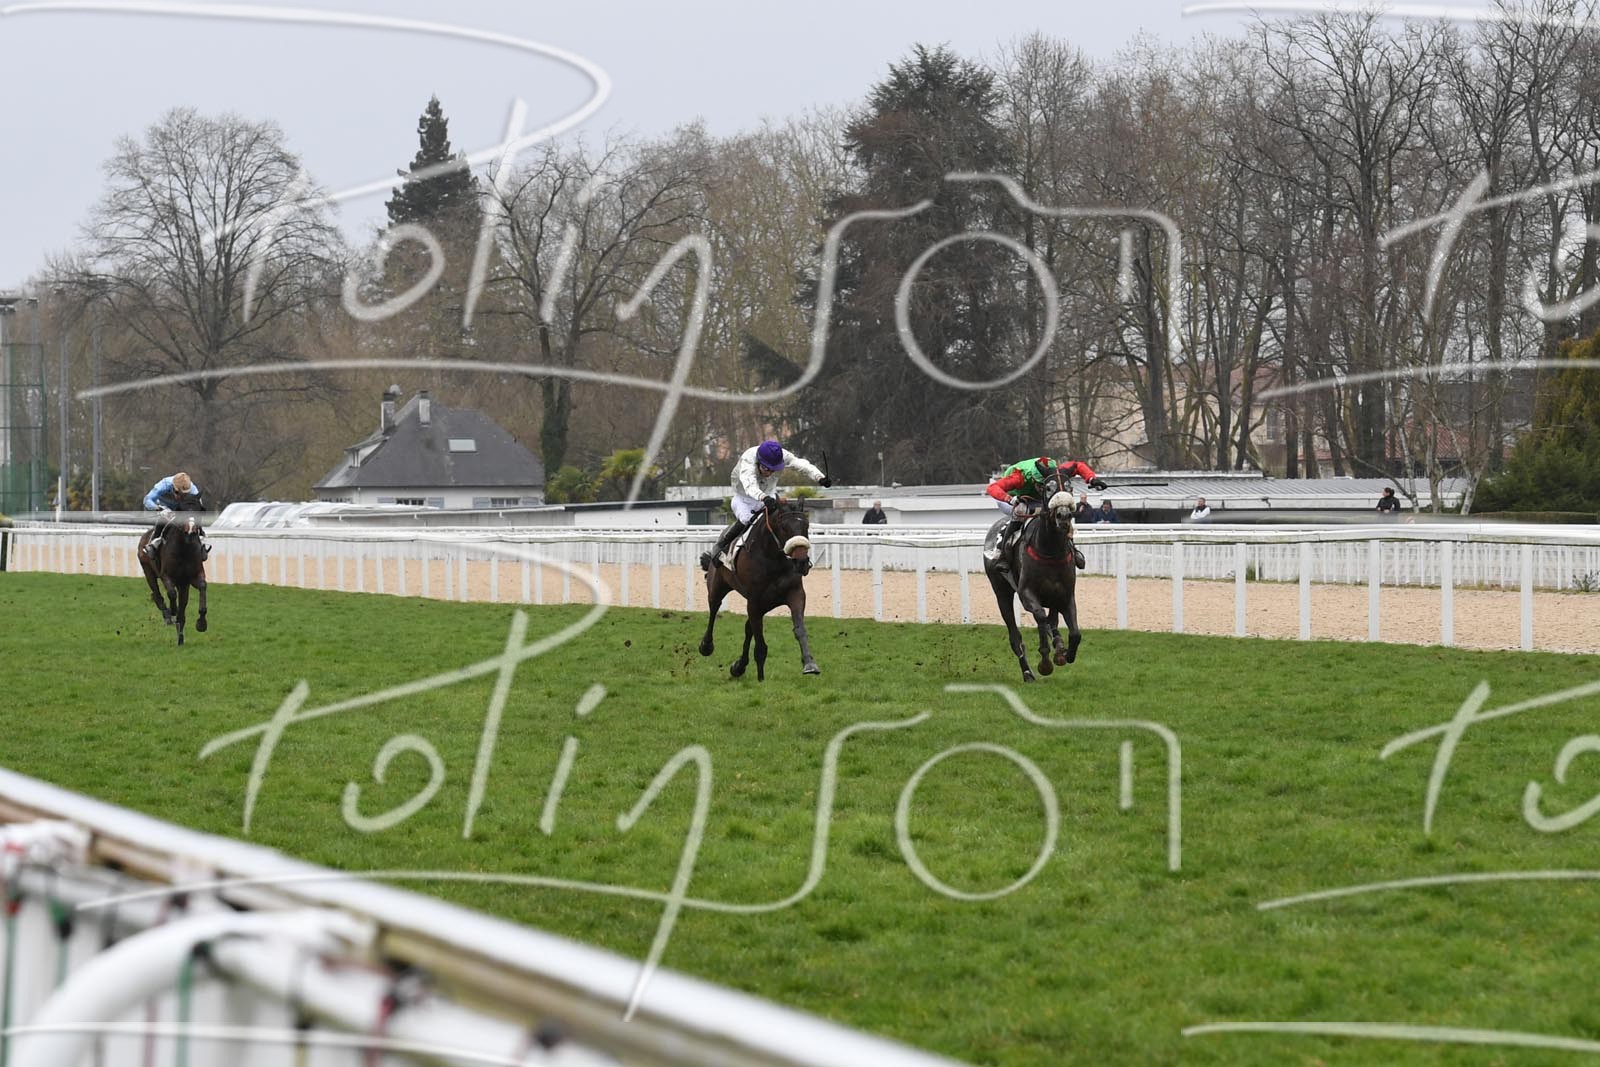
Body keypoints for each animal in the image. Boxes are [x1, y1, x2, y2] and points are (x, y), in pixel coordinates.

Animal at [138, 505, 208, 647]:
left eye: (198, 510)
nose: (191, 533)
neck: (184, 549)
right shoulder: (166, 575)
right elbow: (171, 593)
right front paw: (172, 610)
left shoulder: (192, 578)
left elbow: (203, 586)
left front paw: (201, 623)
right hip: (148, 572)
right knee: (157, 594)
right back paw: (167, 616)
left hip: (183, 585)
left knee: (181, 611)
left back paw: (180, 637)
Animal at [698, 500, 820, 680]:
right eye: (784, 527)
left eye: (806, 525)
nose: (802, 562)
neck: (773, 558)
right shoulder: (754, 600)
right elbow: (760, 644)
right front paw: (761, 679)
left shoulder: (795, 594)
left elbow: (800, 629)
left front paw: (809, 664)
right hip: (718, 586)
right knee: (714, 609)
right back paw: (706, 646)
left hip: (764, 605)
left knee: (748, 627)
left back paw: (739, 666)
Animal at [982, 471, 1081, 682]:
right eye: (1048, 488)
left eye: (1070, 488)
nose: (1063, 516)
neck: (1050, 551)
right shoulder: (1026, 594)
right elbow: (1041, 617)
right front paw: (1045, 663)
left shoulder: (1066, 595)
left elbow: (1075, 633)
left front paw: (1066, 653)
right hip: (1001, 592)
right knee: (1016, 636)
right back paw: (1027, 672)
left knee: (1053, 622)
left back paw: (1059, 648)